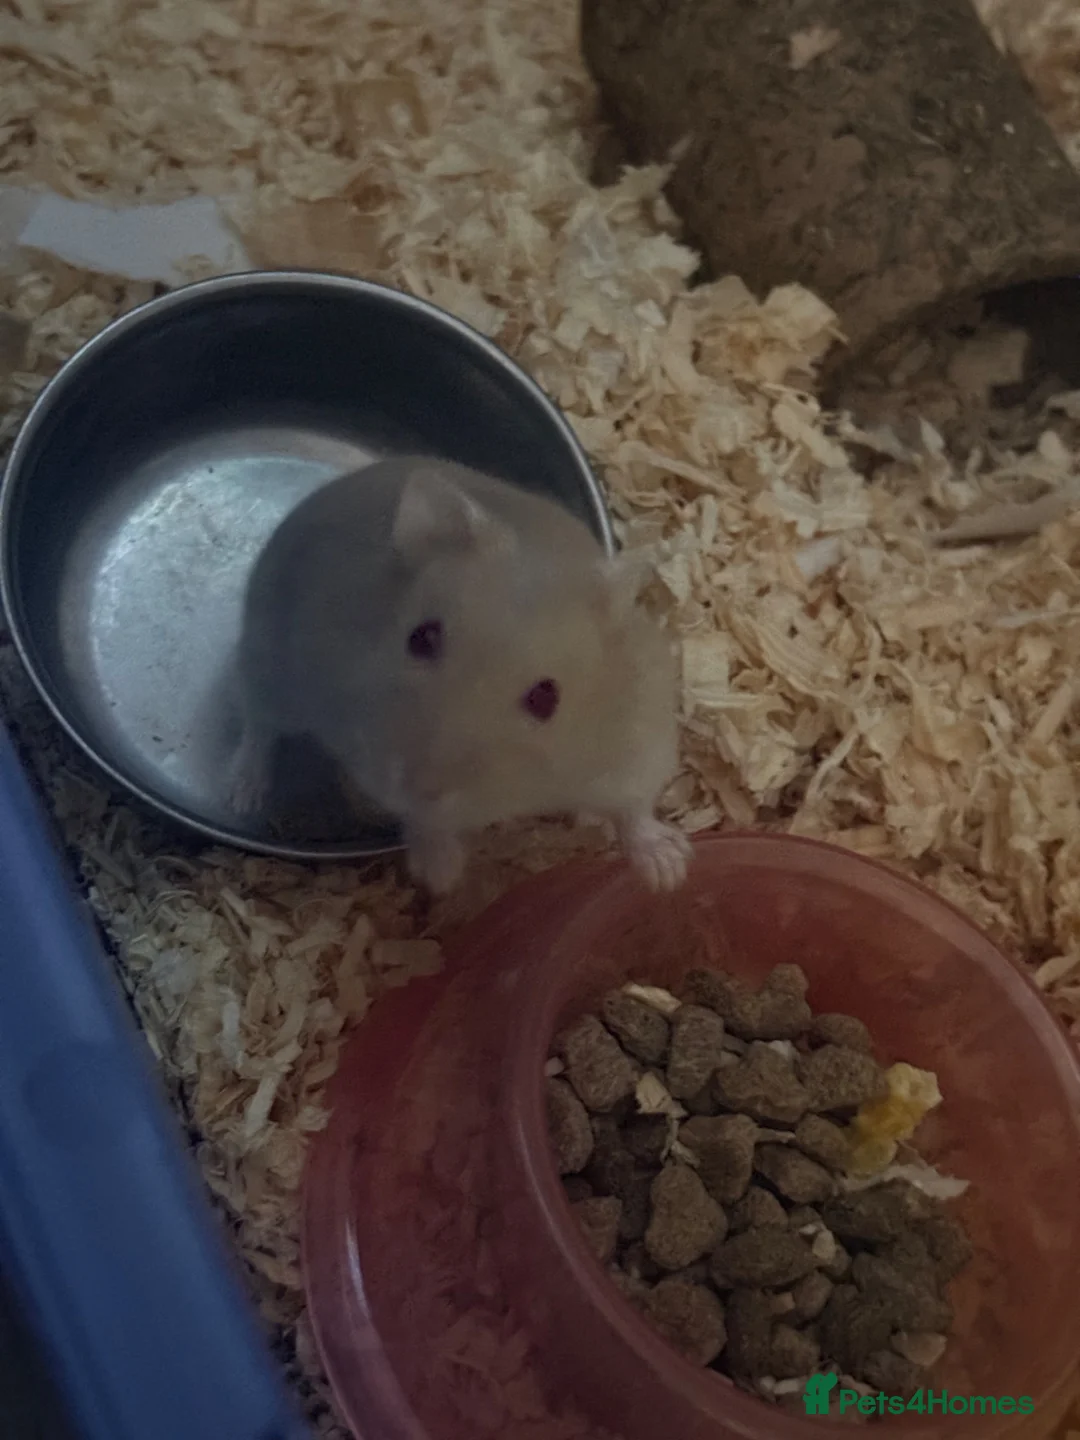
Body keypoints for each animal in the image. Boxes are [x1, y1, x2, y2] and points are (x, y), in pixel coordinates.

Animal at [226, 454, 692, 895]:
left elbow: (634, 807)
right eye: (421, 638)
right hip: (269, 663)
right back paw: (243, 796)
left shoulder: (637, 737)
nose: (419, 786)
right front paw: (441, 877)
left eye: (546, 698)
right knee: (259, 725)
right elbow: (426, 824)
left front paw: (668, 872)